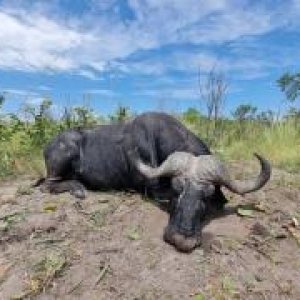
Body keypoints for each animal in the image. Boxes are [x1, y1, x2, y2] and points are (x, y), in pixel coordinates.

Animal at [36, 112, 270, 251]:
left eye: (207, 195)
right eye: (176, 190)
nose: (182, 239)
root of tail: (50, 145)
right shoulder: (153, 190)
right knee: (48, 185)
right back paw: (78, 189)